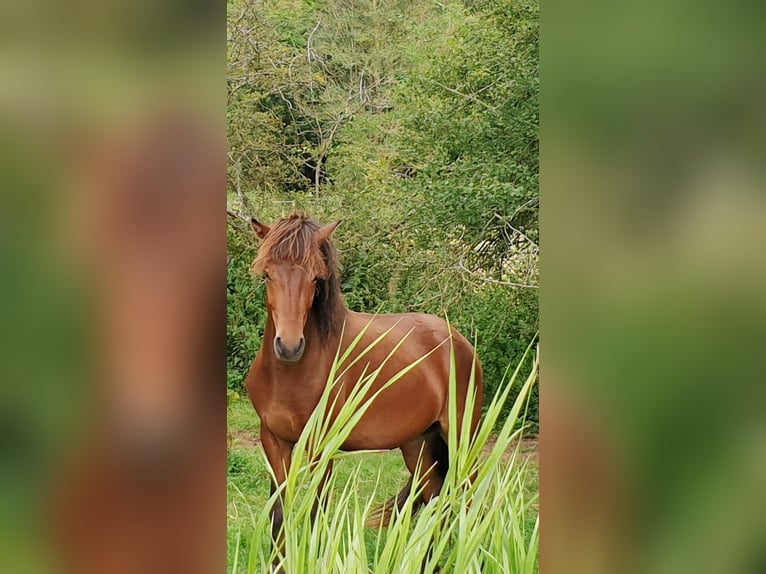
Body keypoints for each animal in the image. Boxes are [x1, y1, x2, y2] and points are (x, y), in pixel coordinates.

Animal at [246, 215, 486, 544]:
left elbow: (316, 516)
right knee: (435, 502)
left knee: (467, 502)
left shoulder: (322, 447)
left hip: (462, 438)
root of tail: (459, 341)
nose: (289, 346)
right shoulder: (273, 441)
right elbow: (278, 518)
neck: (291, 376)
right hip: (419, 445)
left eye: (315, 279)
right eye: (268, 275)